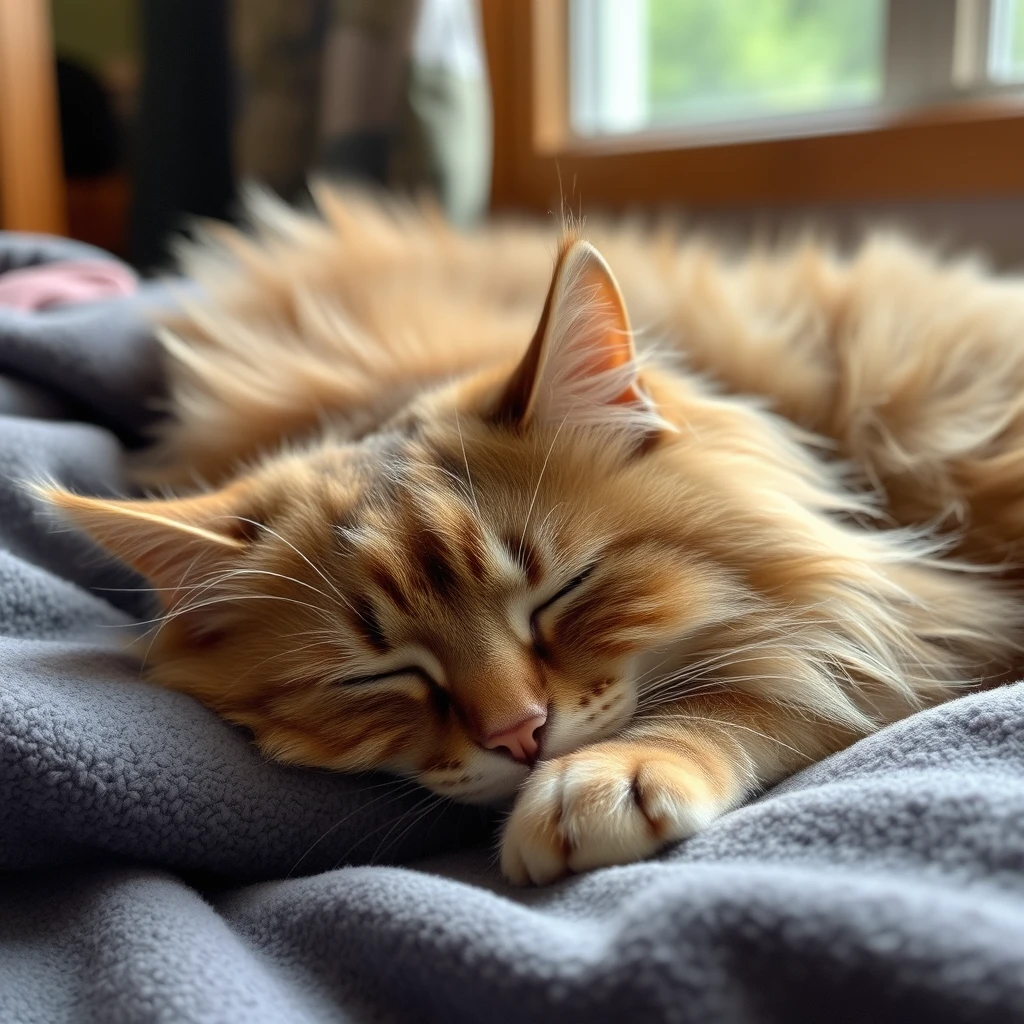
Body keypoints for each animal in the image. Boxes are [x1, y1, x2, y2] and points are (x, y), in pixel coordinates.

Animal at [39, 188, 1024, 884]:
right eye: (377, 675)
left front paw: (619, 770)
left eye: (564, 592)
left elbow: (762, 684)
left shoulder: (914, 608)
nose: (519, 734)